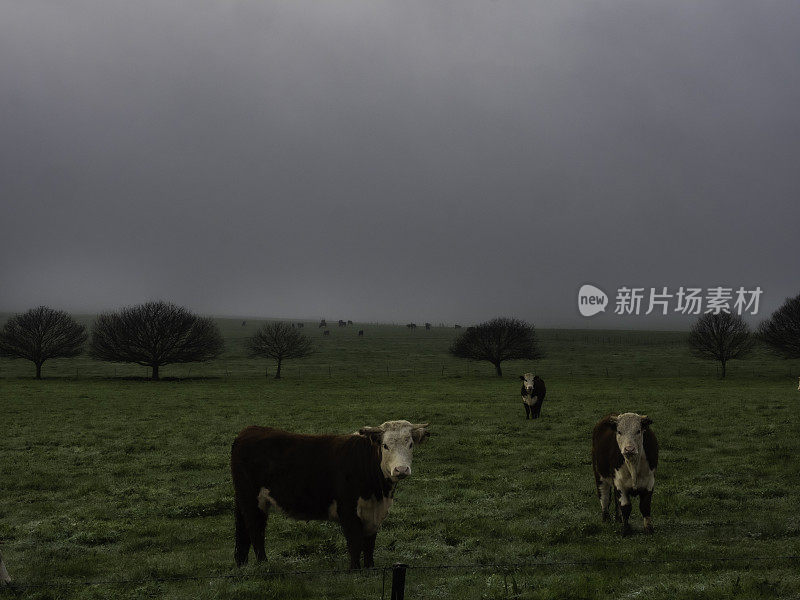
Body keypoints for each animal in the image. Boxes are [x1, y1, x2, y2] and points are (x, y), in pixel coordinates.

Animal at [231, 422, 432, 568]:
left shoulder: (374, 513)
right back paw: (264, 564)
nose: (401, 469)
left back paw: (242, 563)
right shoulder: (347, 509)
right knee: (256, 530)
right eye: (385, 445)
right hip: (251, 500)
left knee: (244, 530)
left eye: (410, 444)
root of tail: (248, 431)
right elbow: (355, 542)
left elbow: (369, 543)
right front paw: (355, 569)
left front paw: (370, 567)